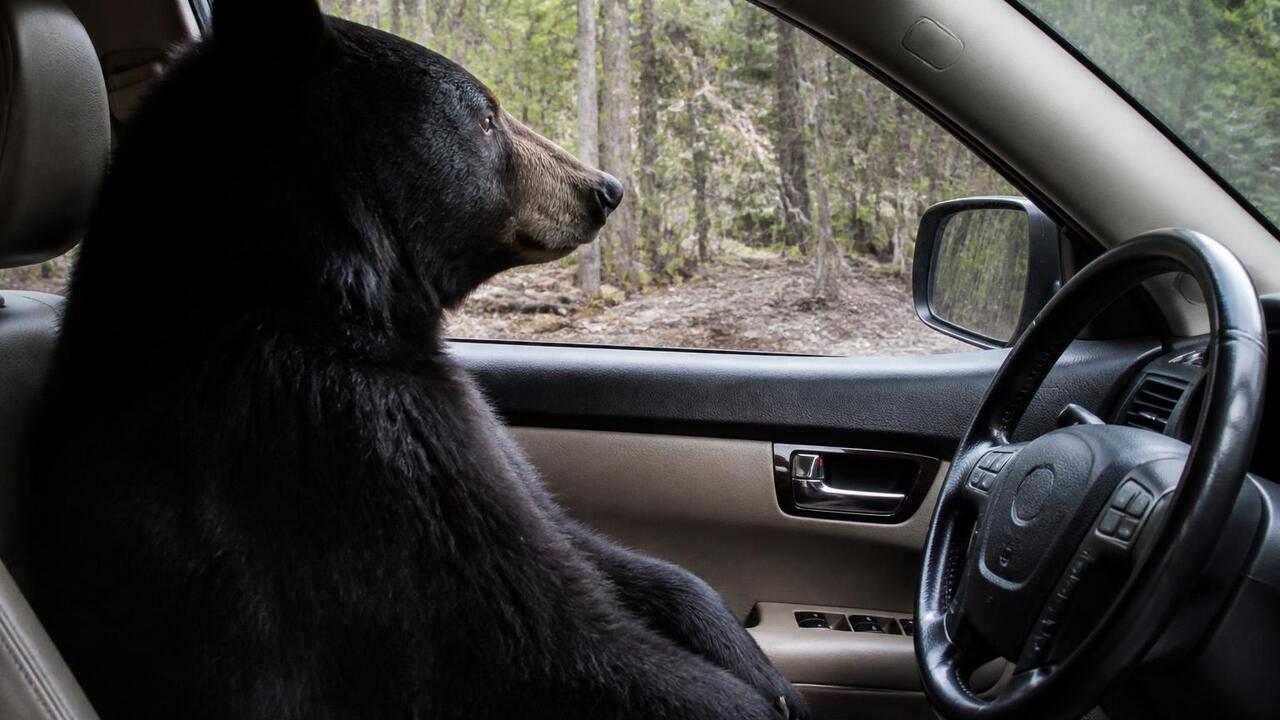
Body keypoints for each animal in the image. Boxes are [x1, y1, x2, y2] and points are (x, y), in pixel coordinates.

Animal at [24, 1, 807, 719]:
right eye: (485, 117)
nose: (604, 188)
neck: (325, 293)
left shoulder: (474, 436)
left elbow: (591, 546)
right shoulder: (348, 448)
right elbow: (543, 640)